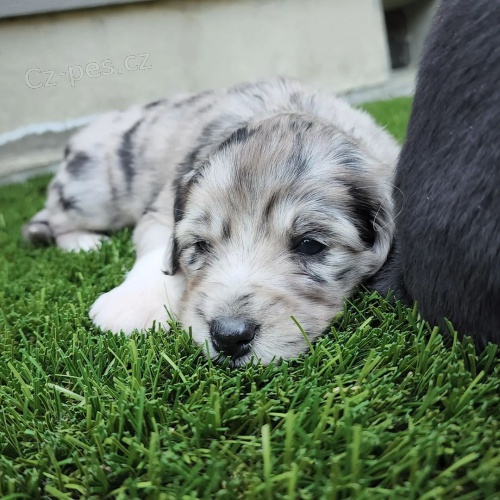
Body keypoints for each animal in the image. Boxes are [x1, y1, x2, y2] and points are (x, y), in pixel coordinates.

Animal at [23, 77, 399, 365]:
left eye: (309, 245)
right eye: (201, 246)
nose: (229, 337)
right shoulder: (160, 210)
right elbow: (157, 255)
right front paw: (129, 306)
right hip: (95, 192)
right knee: (47, 218)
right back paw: (82, 241)